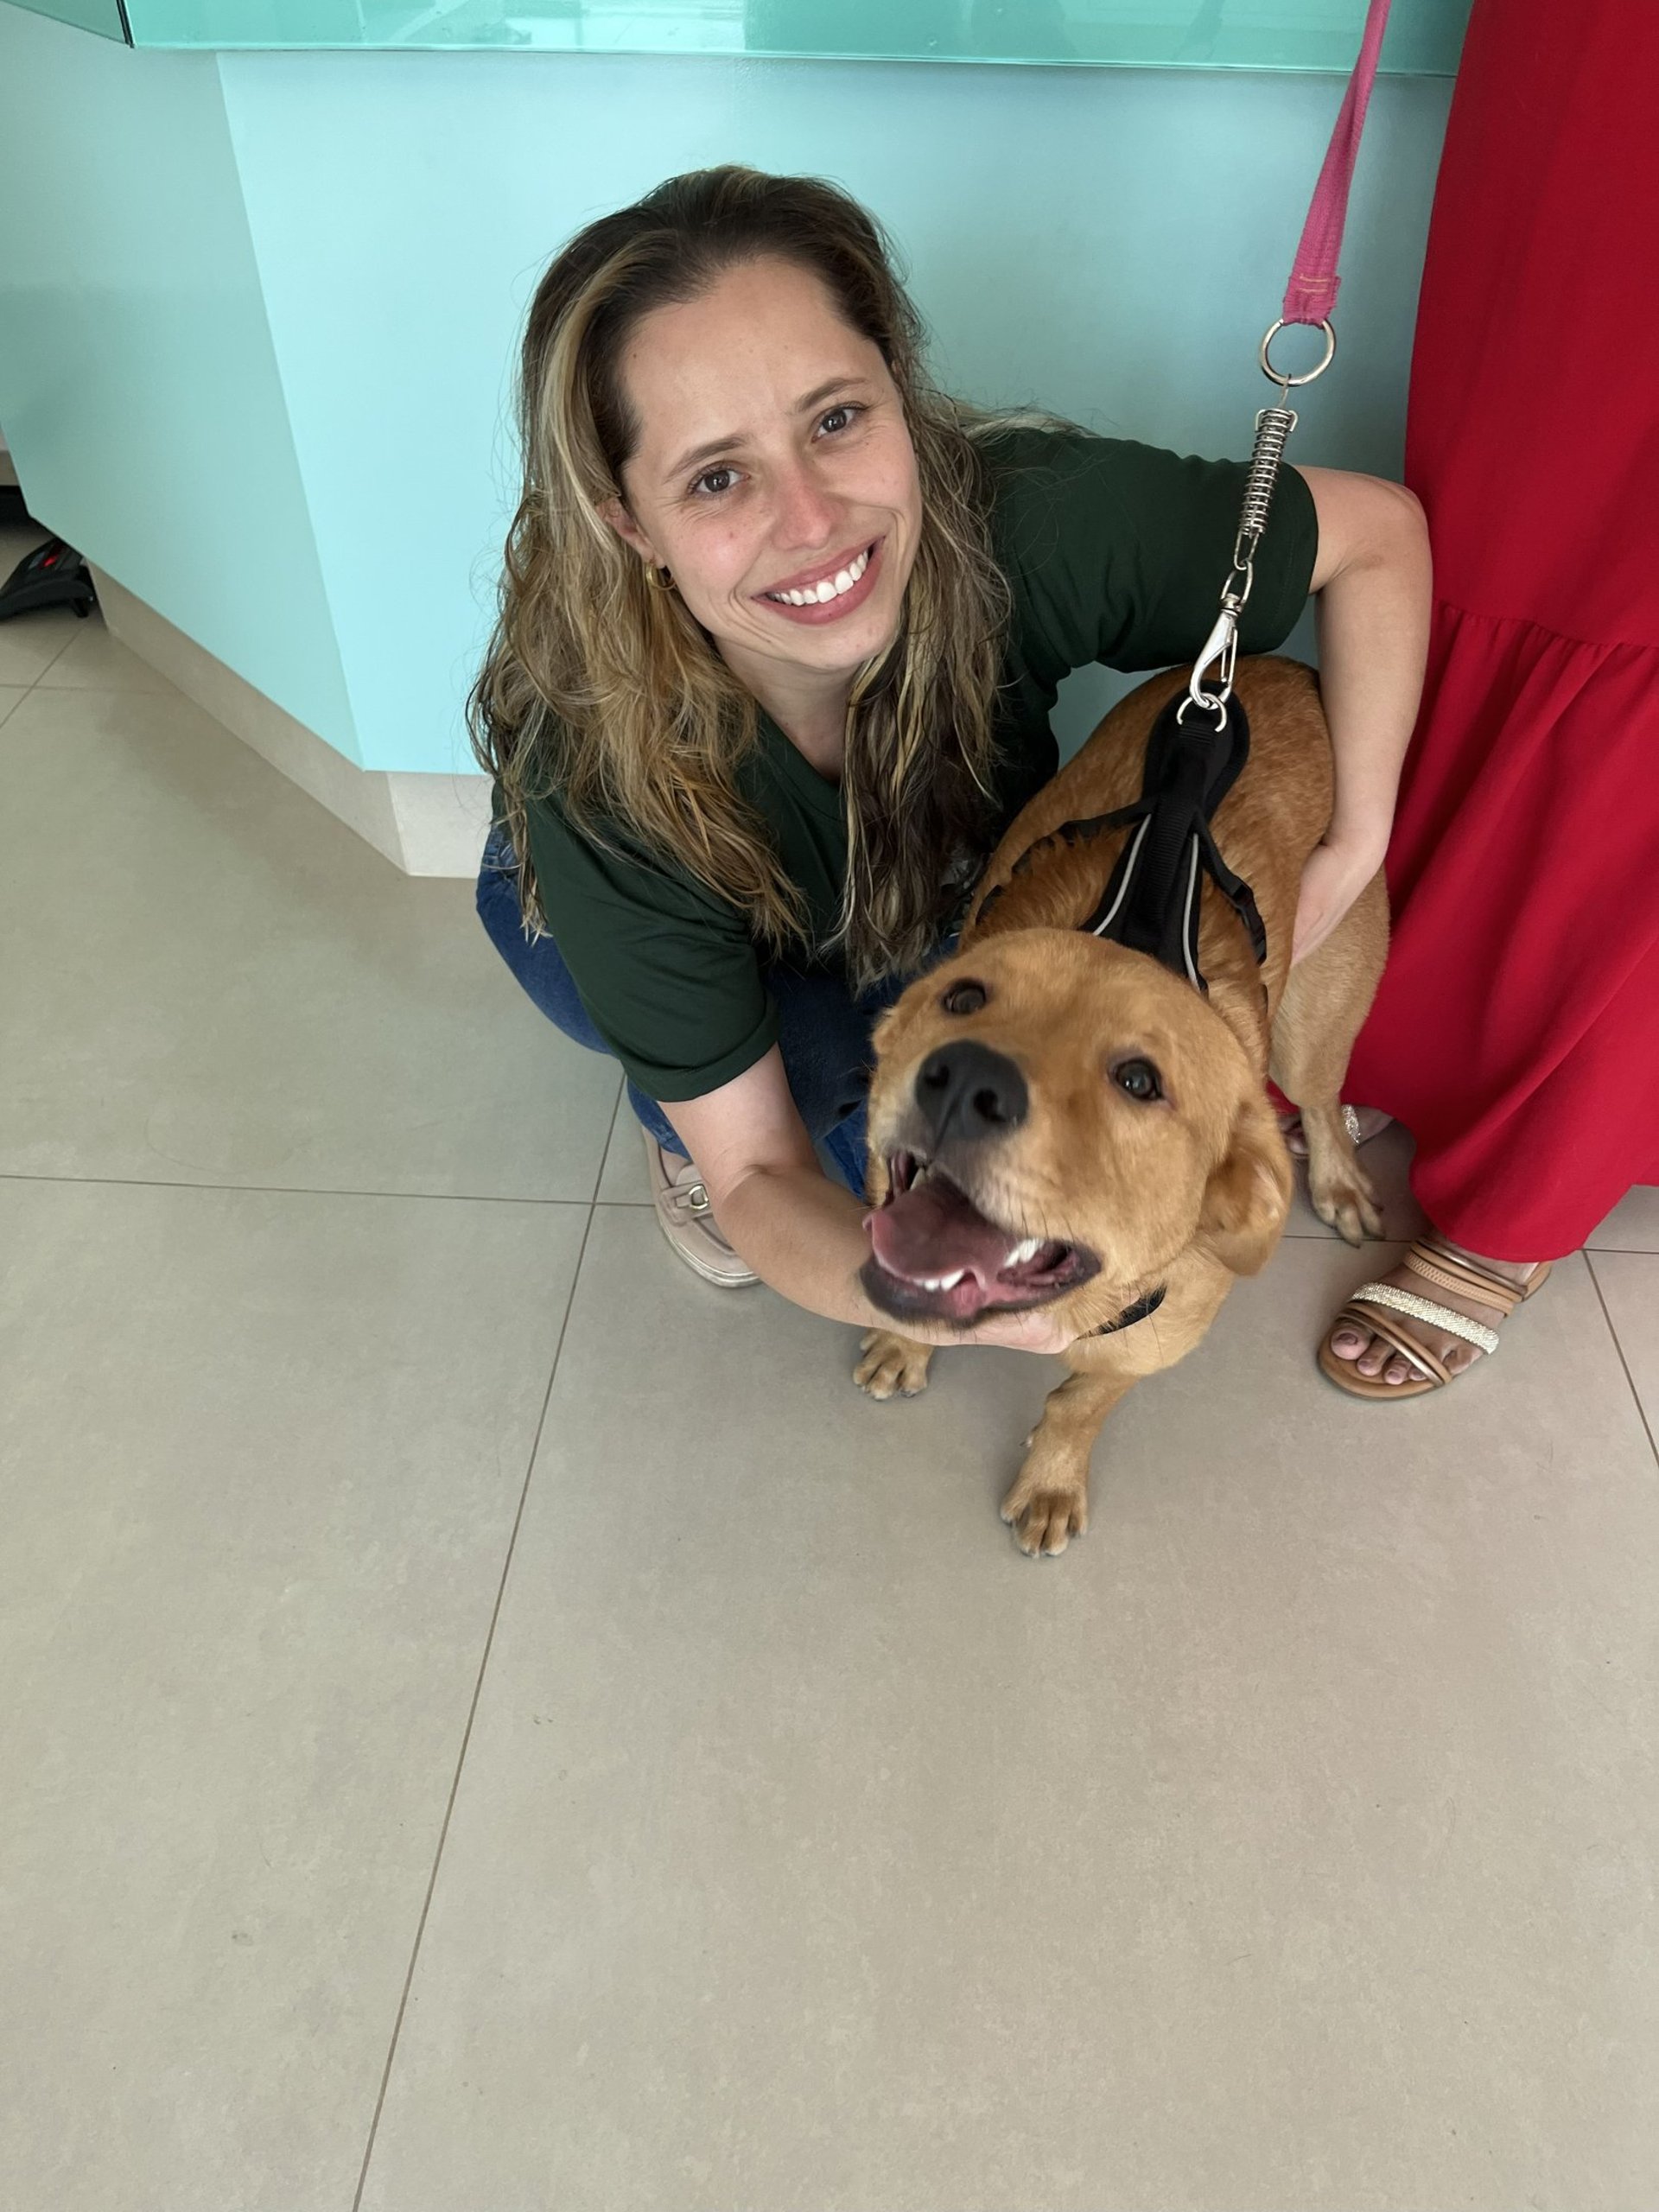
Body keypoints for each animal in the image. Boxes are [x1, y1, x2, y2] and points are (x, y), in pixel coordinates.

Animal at [855, 657, 1388, 1556]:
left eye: (1140, 1081)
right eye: (961, 999)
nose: (964, 1080)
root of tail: (1289, 665)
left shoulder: (1158, 1339)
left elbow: (1080, 1403)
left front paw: (1051, 1480)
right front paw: (903, 1346)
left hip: (1313, 1025)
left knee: (1322, 1097)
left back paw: (1341, 1179)